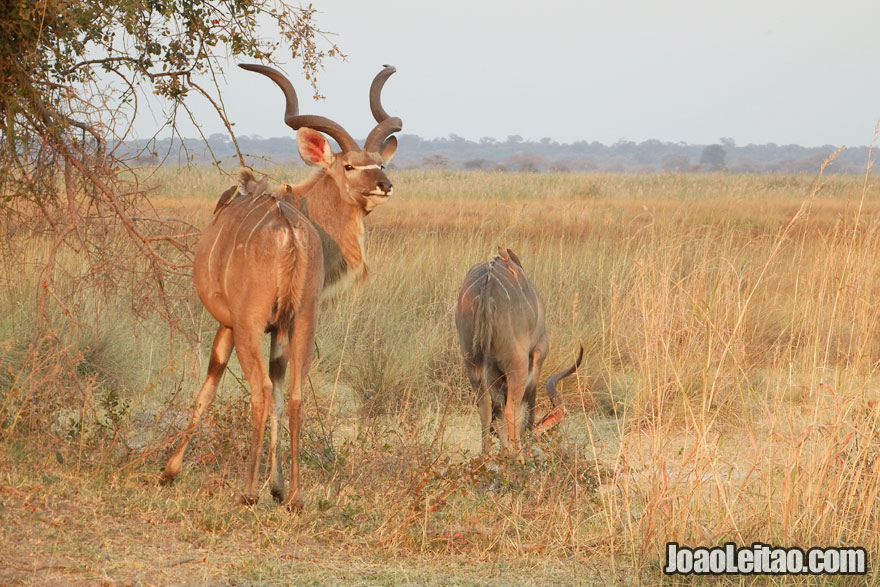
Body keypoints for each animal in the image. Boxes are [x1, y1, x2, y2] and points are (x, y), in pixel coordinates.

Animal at [160, 63, 400, 506]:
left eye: (381, 164)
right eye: (349, 166)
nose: (384, 185)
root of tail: (288, 231)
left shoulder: (231, 323)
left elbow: (211, 384)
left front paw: (170, 470)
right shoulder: (283, 327)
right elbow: (279, 386)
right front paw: (277, 485)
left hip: (250, 324)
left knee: (257, 392)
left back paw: (247, 492)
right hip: (303, 321)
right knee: (294, 395)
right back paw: (294, 496)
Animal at [454, 248, 584, 460]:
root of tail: (486, 289)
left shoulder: (493, 372)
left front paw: (504, 452)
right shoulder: (537, 355)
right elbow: (526, 403)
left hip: (472, 363)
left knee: (486, 407)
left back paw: (485, 458)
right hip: (517, 363)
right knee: (510, 409)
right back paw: (519, 458)